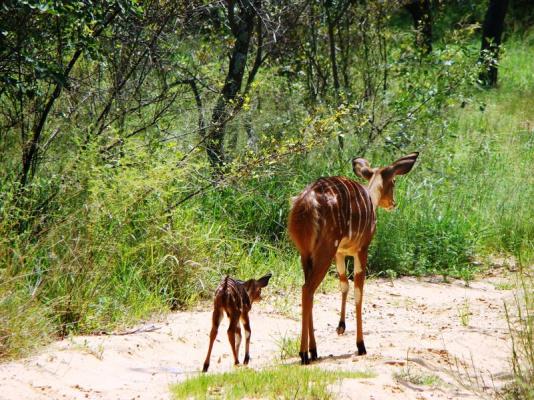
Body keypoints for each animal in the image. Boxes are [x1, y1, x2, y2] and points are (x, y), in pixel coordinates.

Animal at [288, 152, 418, 364]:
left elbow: (344, 284)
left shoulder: (341, 253)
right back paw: (304, 354)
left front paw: (340, 327)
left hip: (305, 252)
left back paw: (313, 351)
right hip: (325, 249)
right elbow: (358, 291)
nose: (393, 203)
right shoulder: (362, 249)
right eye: (394, 181)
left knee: (308, 290)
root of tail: (306, 204)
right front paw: (361, 345)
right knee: (307, 289)